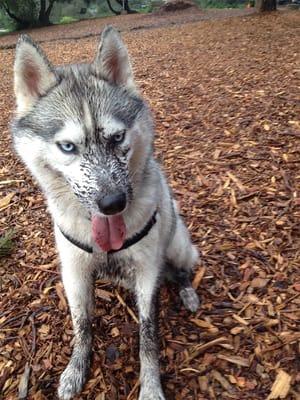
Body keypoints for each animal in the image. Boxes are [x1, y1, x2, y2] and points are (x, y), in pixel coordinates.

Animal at [12, 27, 199, 400]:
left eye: (117, 138)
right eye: (68, 147)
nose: (113, 203)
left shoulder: (147, 271)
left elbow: (148, 335)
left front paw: (151, 386)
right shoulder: (74, 272)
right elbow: (82, 326)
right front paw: (76, 369)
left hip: (178, 247)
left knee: (183, 270)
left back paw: (187, 291)